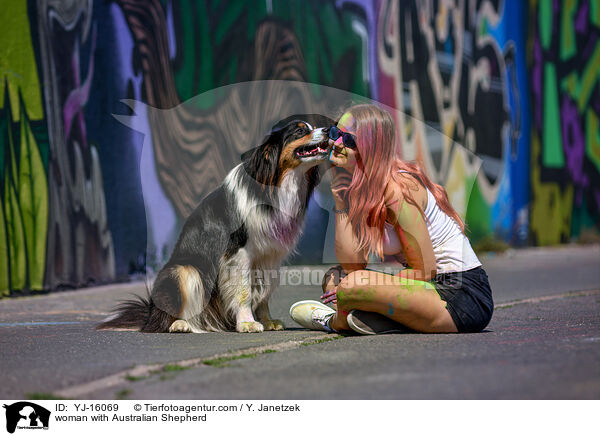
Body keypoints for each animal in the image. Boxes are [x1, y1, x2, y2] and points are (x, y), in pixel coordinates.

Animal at [98, 116, 332, 334]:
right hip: (184, 271)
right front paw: (247, 323)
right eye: (300, 131)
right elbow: (244, 291)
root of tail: (149, 313)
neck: (276, 182)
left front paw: (267, 321)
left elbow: (263, 292)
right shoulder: (239, 253)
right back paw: (179, 324)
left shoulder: (268, 257)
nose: (329, 129)